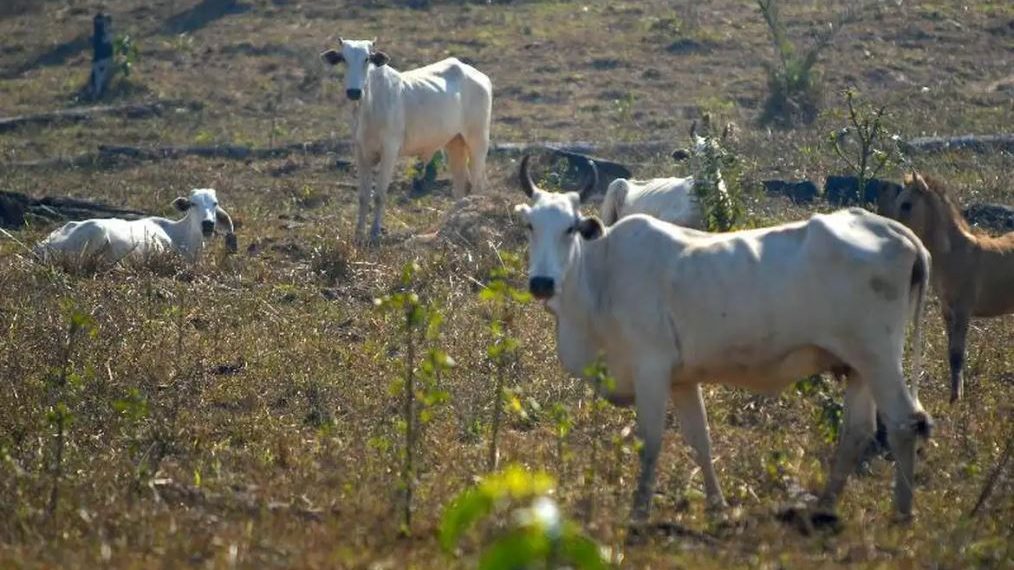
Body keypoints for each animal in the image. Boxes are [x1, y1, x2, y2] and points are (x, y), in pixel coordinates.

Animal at [320, 39, 492, 244]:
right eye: (344, 59)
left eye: (367, 59)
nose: (354, 92)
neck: (369, 105)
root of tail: (479, 76)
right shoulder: (360, 150)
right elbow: (363, 196)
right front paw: (359, 233)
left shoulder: (390, 150)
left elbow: (379, 194)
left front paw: (375, 232)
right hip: (454, 143)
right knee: (461, 186)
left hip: (477, 141)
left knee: (479, 185)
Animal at [513, 155, 932, 523]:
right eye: (530, 226)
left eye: (570, 227)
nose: (542, 283)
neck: (601, 276)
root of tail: (899, 232)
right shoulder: (681, 380)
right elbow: (700, 440)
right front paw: (719, 507)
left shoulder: (651, 368)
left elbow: (651, 441)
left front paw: (639, 512)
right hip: (858, 365)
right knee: (857, 431)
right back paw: (826, 505)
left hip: (879, 356)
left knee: (903, 422)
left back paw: (902, 511)